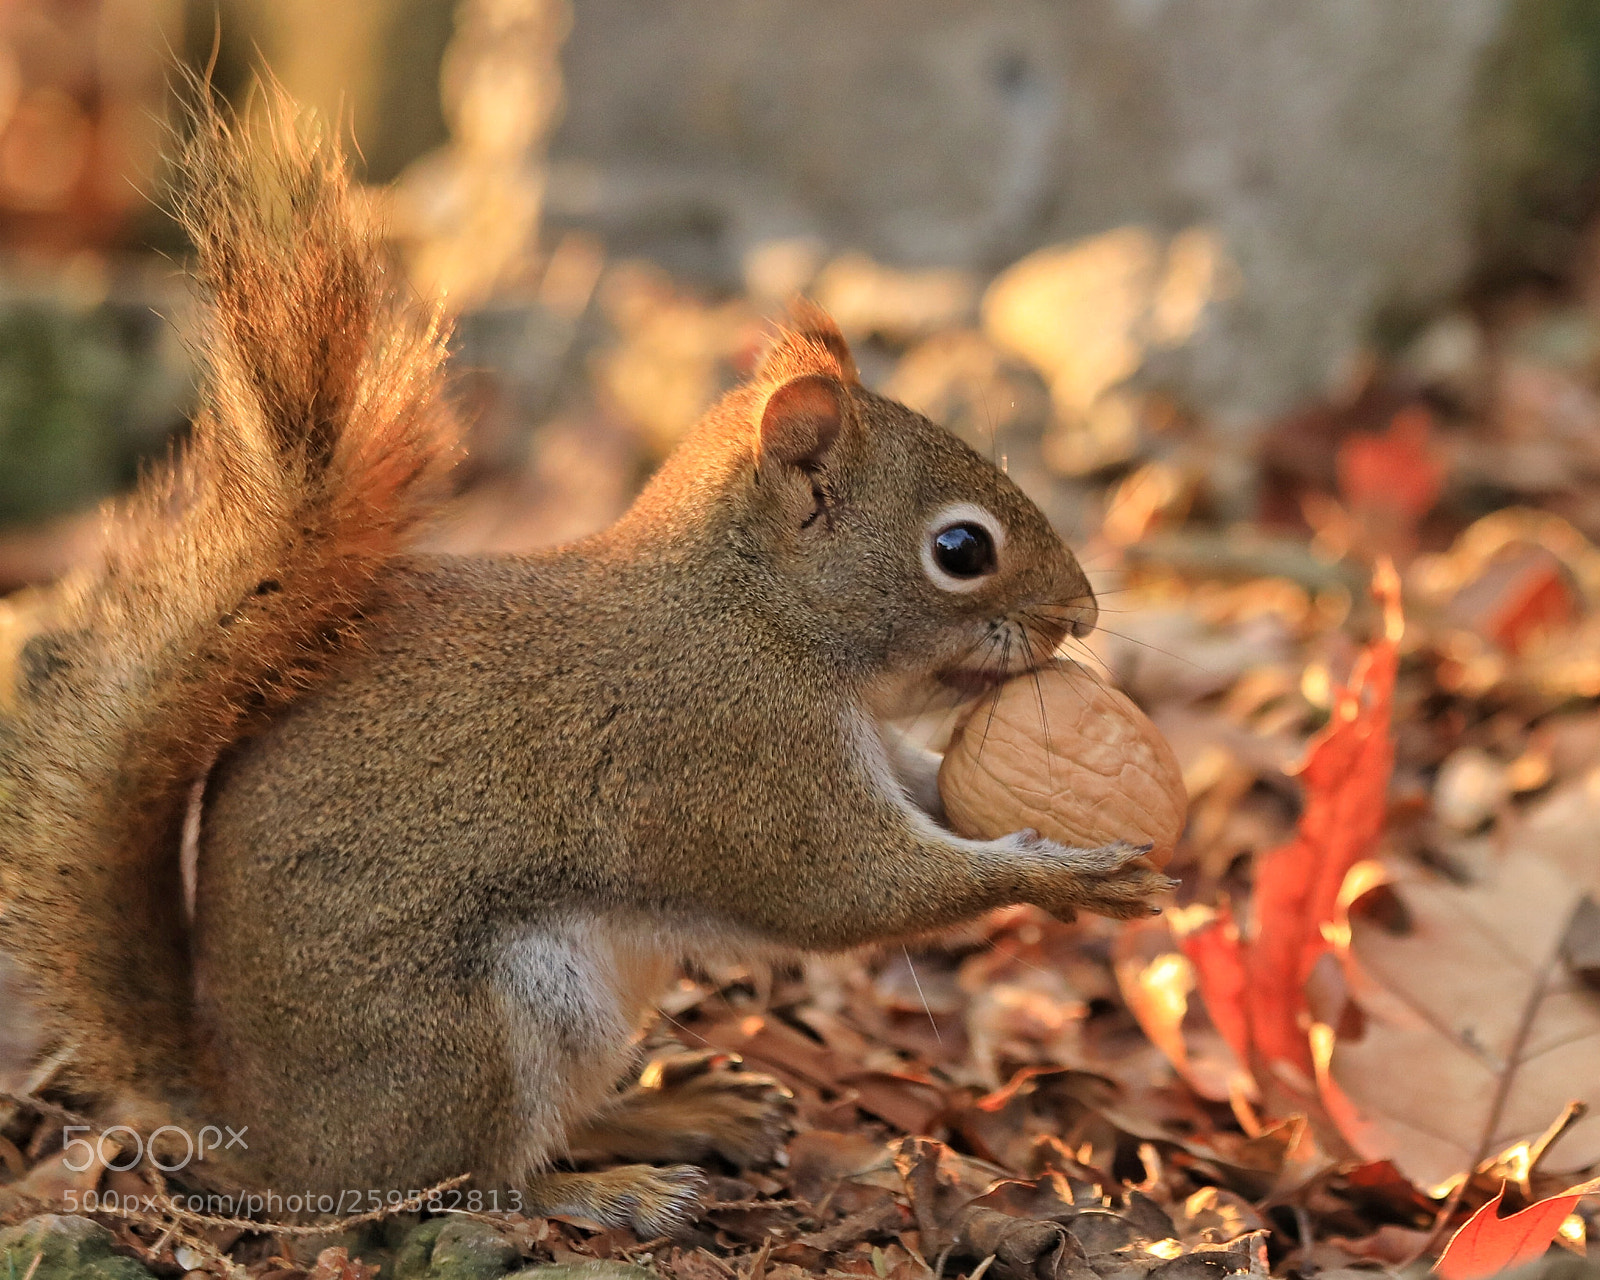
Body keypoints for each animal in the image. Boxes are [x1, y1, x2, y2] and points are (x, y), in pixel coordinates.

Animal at [0, 92, 1173, 1234]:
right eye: (961, 550)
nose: (1080, 613)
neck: (759, 612)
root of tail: (262, 1126)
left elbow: (930, 797)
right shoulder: (731, 753)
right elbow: (846, 891)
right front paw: (1069, 876)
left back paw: (688, 1111)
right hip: (478, 1031)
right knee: (473, 1186)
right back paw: (611, 1191)